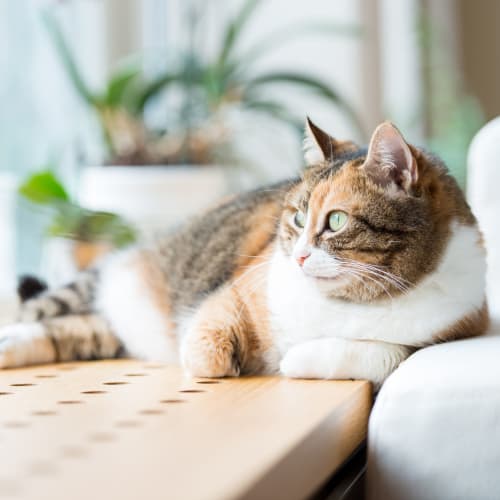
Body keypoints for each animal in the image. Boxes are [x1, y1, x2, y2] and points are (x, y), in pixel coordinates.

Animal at [0, 119, 486, 384]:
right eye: (297, 218)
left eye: (336, 221)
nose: (300, 257)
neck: (344, 303)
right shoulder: (236, 288)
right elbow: (206, 345)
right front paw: (225, 359)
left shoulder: (455, 327)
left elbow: (386, 353)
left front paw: (294, 359)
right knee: (44, 313)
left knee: (72, 330)